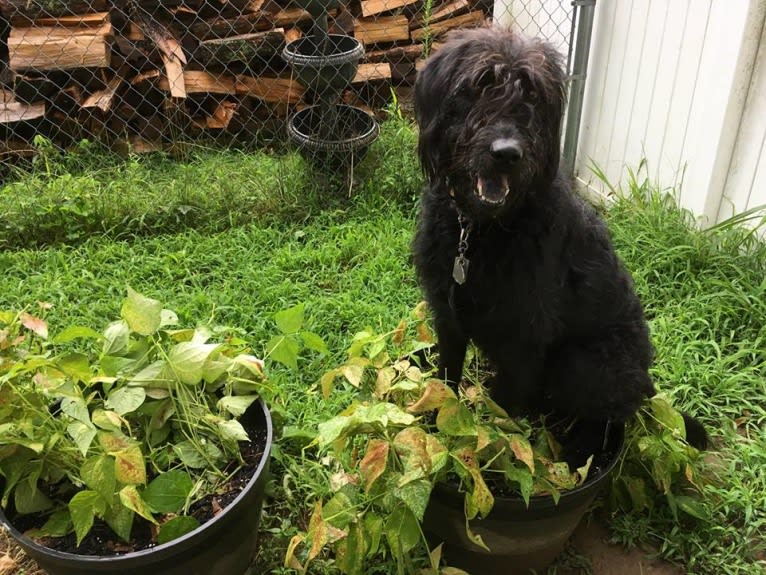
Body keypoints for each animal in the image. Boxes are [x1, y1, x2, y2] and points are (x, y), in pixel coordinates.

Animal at [414, 27, 708, 450]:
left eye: (533, 95)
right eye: (478, 85)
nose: (507, 154)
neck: (479, 232)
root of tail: (645, 382)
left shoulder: (524, 343)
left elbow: (500, 417)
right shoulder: (448, 318)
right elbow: (446, 381)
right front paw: (433, 431)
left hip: (583, 364)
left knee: (608, 424)